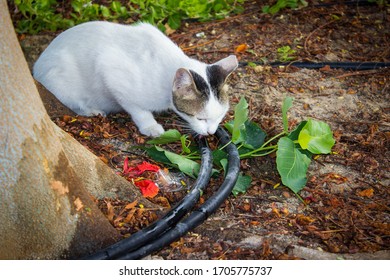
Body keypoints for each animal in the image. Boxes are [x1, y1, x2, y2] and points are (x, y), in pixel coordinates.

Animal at [33, 21, 238, 137]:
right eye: (200, 118)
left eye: (221, 116)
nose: (211, 132)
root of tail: (36, 66)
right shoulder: (111, 72)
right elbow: (138, 110)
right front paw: (150, 126)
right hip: (61, 81)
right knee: (73, 103)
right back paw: (92, 110)